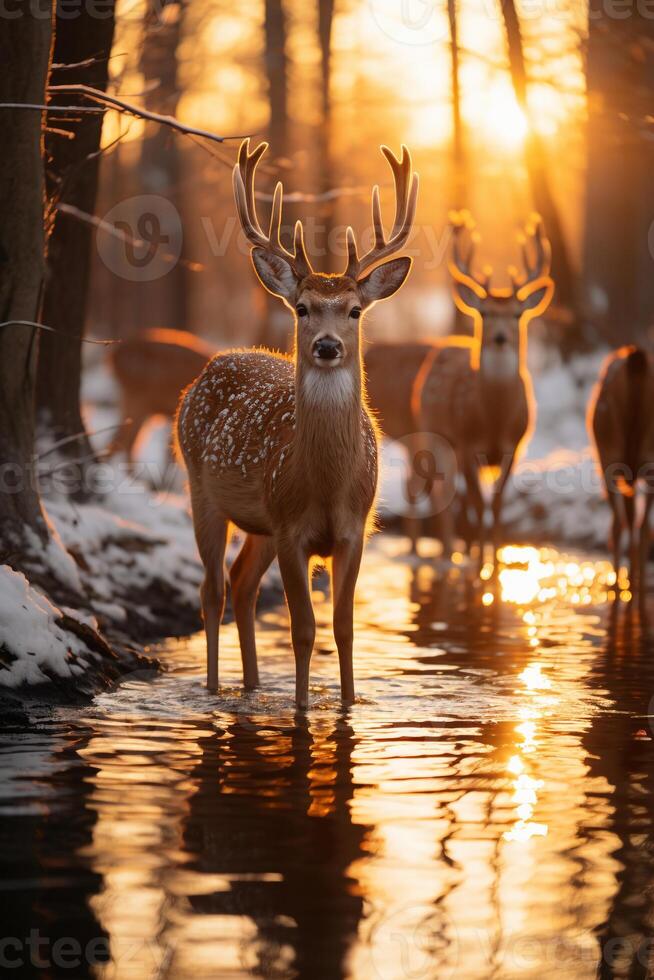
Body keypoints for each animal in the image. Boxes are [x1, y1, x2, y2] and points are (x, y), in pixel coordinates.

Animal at [177, 136, 418, 704]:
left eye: (354, 310)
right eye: (303, 307)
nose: (327, 346)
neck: (326, 486)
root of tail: (211, 366)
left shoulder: (353, 530)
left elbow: (343, 628)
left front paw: (349, 703)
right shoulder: (291, 530)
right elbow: (304, 629)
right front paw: (303, 709)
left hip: (260, 523)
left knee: (241, 584)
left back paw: (251, 688)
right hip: (201, 489)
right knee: (212, 590)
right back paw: (216, 691)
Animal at [416, 212, 552, 568]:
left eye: (517, 313)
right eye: (485, 312)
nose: (500, 337)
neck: (494, 419)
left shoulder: (513, 445)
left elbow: (498, 502)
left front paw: (496, 561)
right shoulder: (466, 442)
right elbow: (478, 502)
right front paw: (479, 564)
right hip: (435, 433)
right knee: (446, 495)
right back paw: (451, 553)